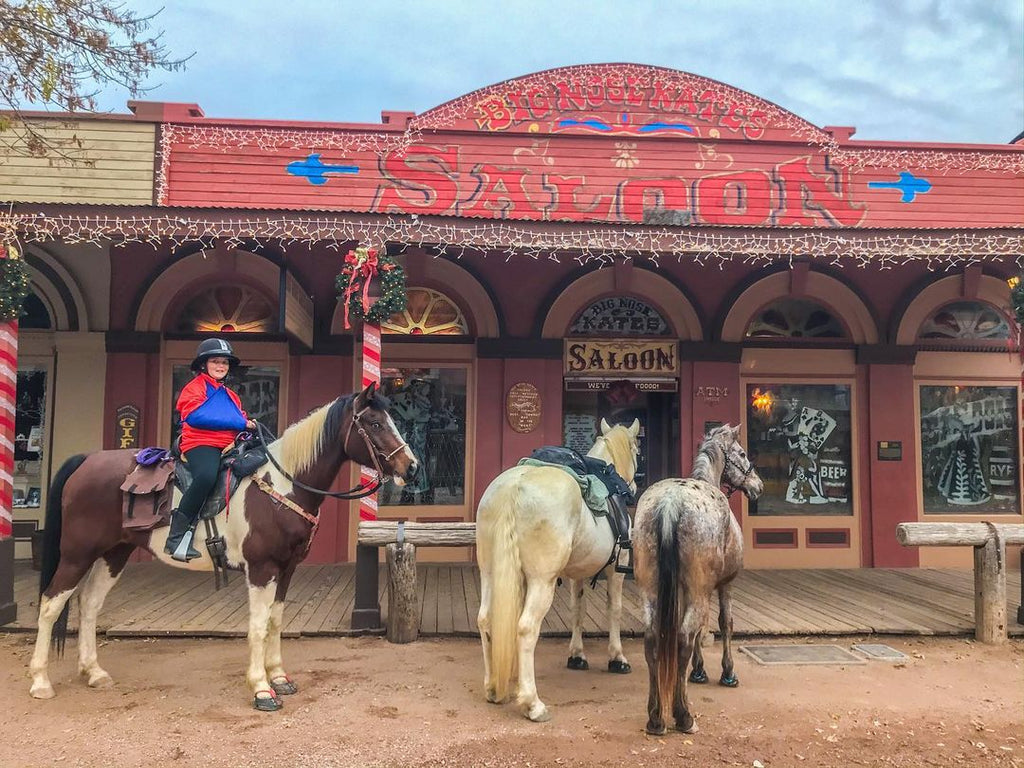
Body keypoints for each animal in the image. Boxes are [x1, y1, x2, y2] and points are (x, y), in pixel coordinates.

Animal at [30, 387, 419, 712]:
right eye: (374, 422)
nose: (411, 467)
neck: (283, 485)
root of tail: (86, 460)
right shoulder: (261, 568)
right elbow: (258, 625)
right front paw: (261, 689)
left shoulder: (287, 567)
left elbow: (276, 621)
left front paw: (279, 677)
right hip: (77, 553)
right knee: (50, 605)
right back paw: (40, 681)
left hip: (114, 553)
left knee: (89, 604)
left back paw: (94, 673)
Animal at [473, 417, 634, 724]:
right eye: (637, 449)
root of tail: (514, 486)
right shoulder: (615, 573)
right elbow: (615, 610)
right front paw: (617, 658)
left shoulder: (576, 575)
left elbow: (577, 610)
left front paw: (577, 655)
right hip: (542, 582)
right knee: (526, 628)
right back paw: (533, 704)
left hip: (488, 573)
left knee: (486, 620)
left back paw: (492, 688)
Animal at [630, 423, 761, 737]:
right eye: (742, 453)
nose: (758, 486)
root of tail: (670, 503)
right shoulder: (724, 585)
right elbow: (724, 623)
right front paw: (727, 672)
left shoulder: (680, 589)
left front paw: (698, 670)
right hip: (701, 591)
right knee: (683, 639)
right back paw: (683, 715)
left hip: (652, 591)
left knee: (653, 641)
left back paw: (655, 717)